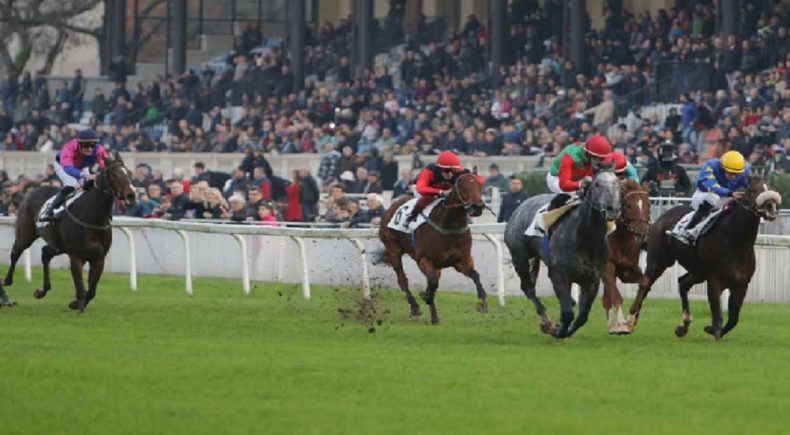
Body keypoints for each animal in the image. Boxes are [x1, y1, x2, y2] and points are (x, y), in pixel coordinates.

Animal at [0, 155, 136, 312]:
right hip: (25, 235)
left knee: (45, 253)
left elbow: (92, 290)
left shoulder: (99, 258)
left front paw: (75, 304)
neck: (92, 216)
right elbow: (81, 288)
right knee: (15, 253)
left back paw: (41, 291)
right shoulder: (76, 256)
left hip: (59, 245)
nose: (131, 195)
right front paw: (79, 307)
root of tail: (32, 191)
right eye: (115, 175)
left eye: (129, 173)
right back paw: (5, 284)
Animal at [378, 172, 486, 326]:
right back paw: (415, 307)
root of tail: (391, 207)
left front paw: (482, 302)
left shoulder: (461, 261)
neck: (449, 225)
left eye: (479, 185)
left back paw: (434, 316)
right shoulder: (424, 259)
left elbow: (476, 275)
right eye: (463, 186)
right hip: (393, 249)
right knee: (403, 280)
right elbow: (432, 283)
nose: (477, 207)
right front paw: (425, 296)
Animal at [508, 172, 624, 338]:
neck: (584, 238)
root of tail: (520, 207)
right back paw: (546, 322)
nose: (612, 209)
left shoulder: (592, 279)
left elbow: (583, 315)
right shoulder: (560, 275)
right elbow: (568, 313)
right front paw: (558, 330)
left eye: (618, 184)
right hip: (520, 258)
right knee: (528, 288)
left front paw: (567, 329)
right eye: (597, 184)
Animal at [604, 180, 652, 334]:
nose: (642, 233)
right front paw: (621, 323)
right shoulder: (607, 265)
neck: (621, 238)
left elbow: (645, 282)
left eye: (648, 204)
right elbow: (616, 295)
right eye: (629, 206)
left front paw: (630, 320)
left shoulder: (627, 269)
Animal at [628, 177, 784, 340]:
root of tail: (659, 219)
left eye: (771, 188)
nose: (770, 206)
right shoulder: (715, 280)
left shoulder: (741, 285)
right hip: (658, 261)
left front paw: (711, 329)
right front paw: (715, 332)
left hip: (698, 272)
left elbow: (733, 319)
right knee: (645, 285)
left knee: (682, 283)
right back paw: (630, 320)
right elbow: (717, 315)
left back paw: (683, 326)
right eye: (754, 190)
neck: (736, 242)